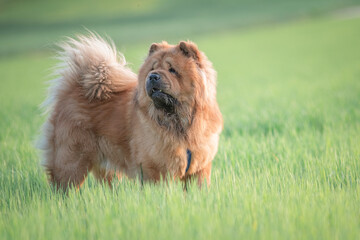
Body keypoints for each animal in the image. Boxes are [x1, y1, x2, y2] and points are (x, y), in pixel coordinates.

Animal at [38, 33, 221, 189]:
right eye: (152, 69)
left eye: (172, 70)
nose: (153, 76)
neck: (179, 120)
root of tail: (73, 88)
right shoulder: (155, 169)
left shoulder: (200, 167)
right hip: (71, 162)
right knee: (64, 186)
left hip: (107, 167)